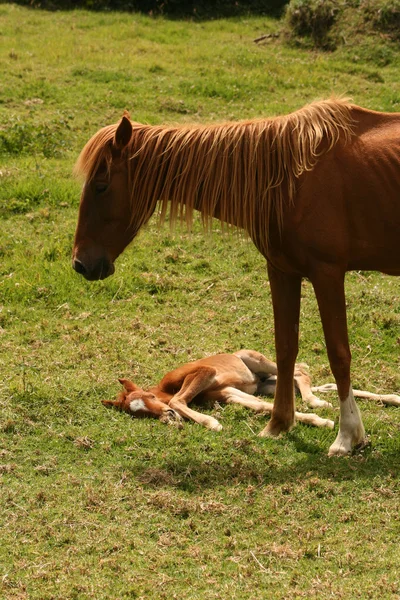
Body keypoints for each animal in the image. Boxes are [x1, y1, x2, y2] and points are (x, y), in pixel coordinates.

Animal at [101, 352, 340, 432]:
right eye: (141, 414)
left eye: (150, 397)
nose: (167, 415)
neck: (163, 389)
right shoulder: (228, 393)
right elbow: (262, 405)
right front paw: (320, 421)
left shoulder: (206, 372)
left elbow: (178, 400)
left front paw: (212, 423)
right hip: (264, 385)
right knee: (292, 380)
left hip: (256, 359)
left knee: (299, 371)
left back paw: (316, 401)